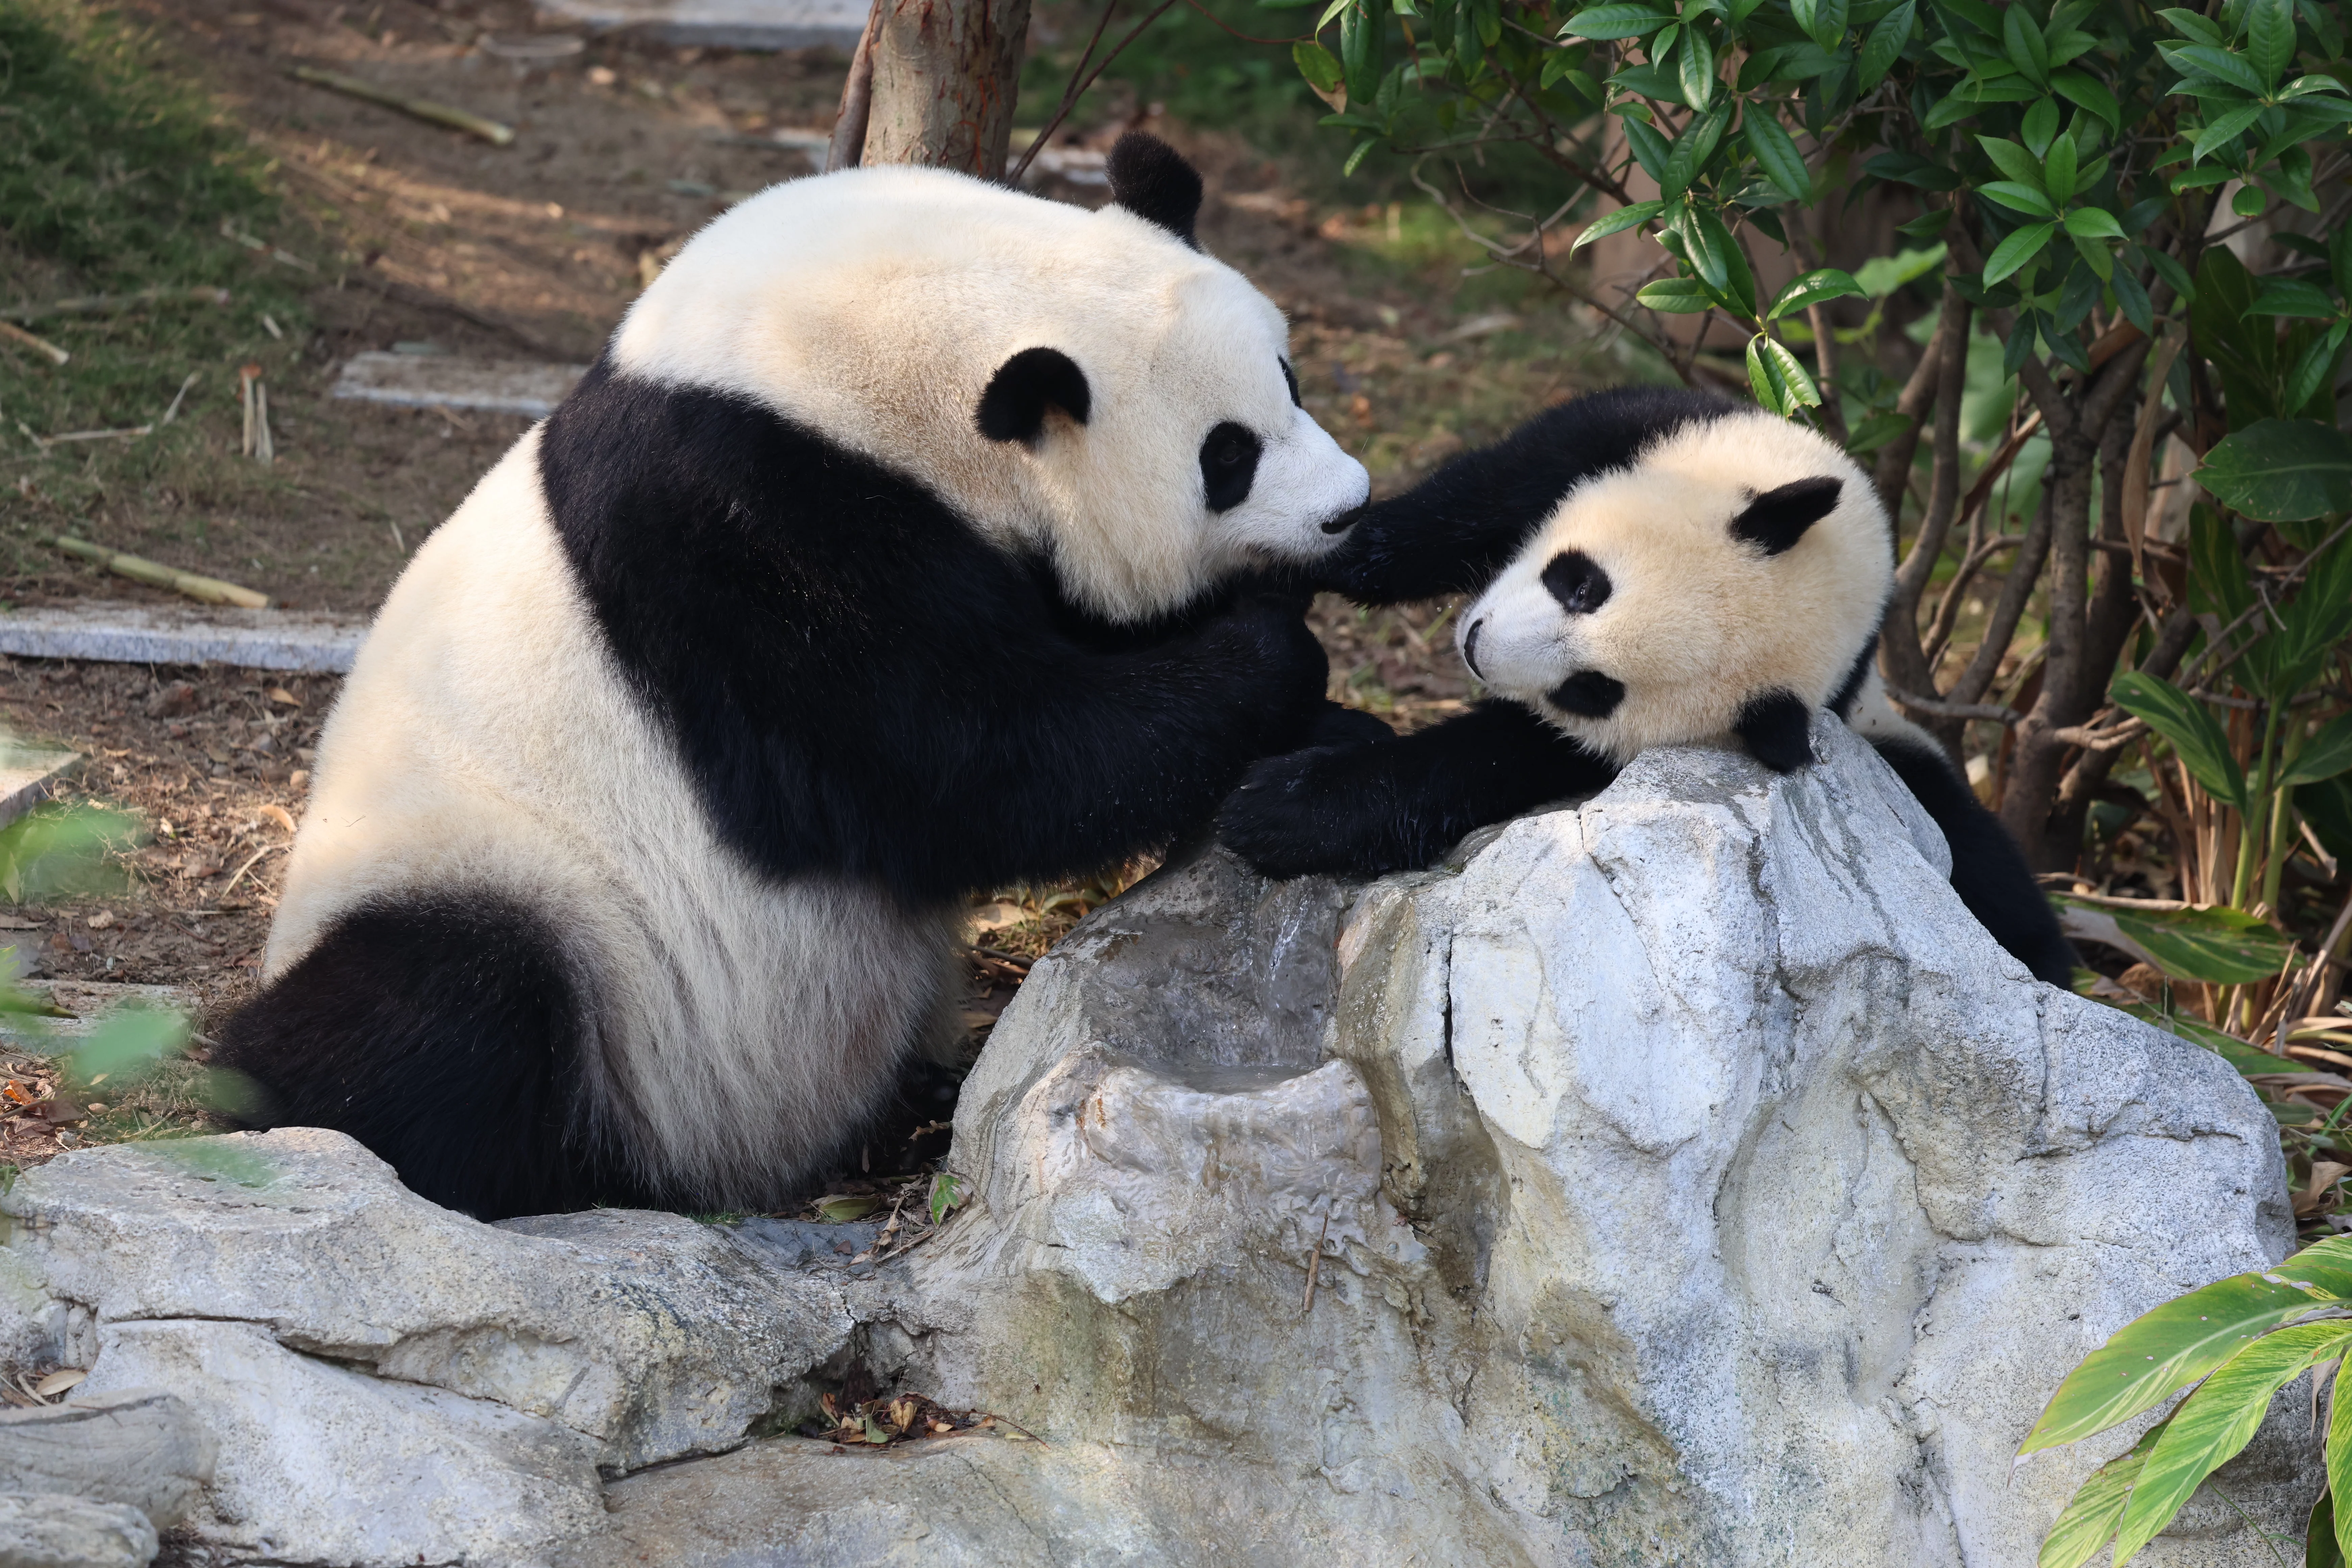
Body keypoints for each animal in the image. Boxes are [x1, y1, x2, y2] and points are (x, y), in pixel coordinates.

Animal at [219, 133, 1373, 1221]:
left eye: (1291, 381)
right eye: (1226, 456)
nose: (1349, 508)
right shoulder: (750, 530)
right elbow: (967, 765)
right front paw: (1279, 655)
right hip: (512, 891)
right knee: (439, 1011)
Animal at [1216, 385, 2077, 987]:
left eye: (1592, 689)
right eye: (1582, 584)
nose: (1478, 647)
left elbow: (1497, 755)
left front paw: (1280, 806)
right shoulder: (1645, 432)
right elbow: (1467, 501)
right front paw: (1307, 560)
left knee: (1990, 873)